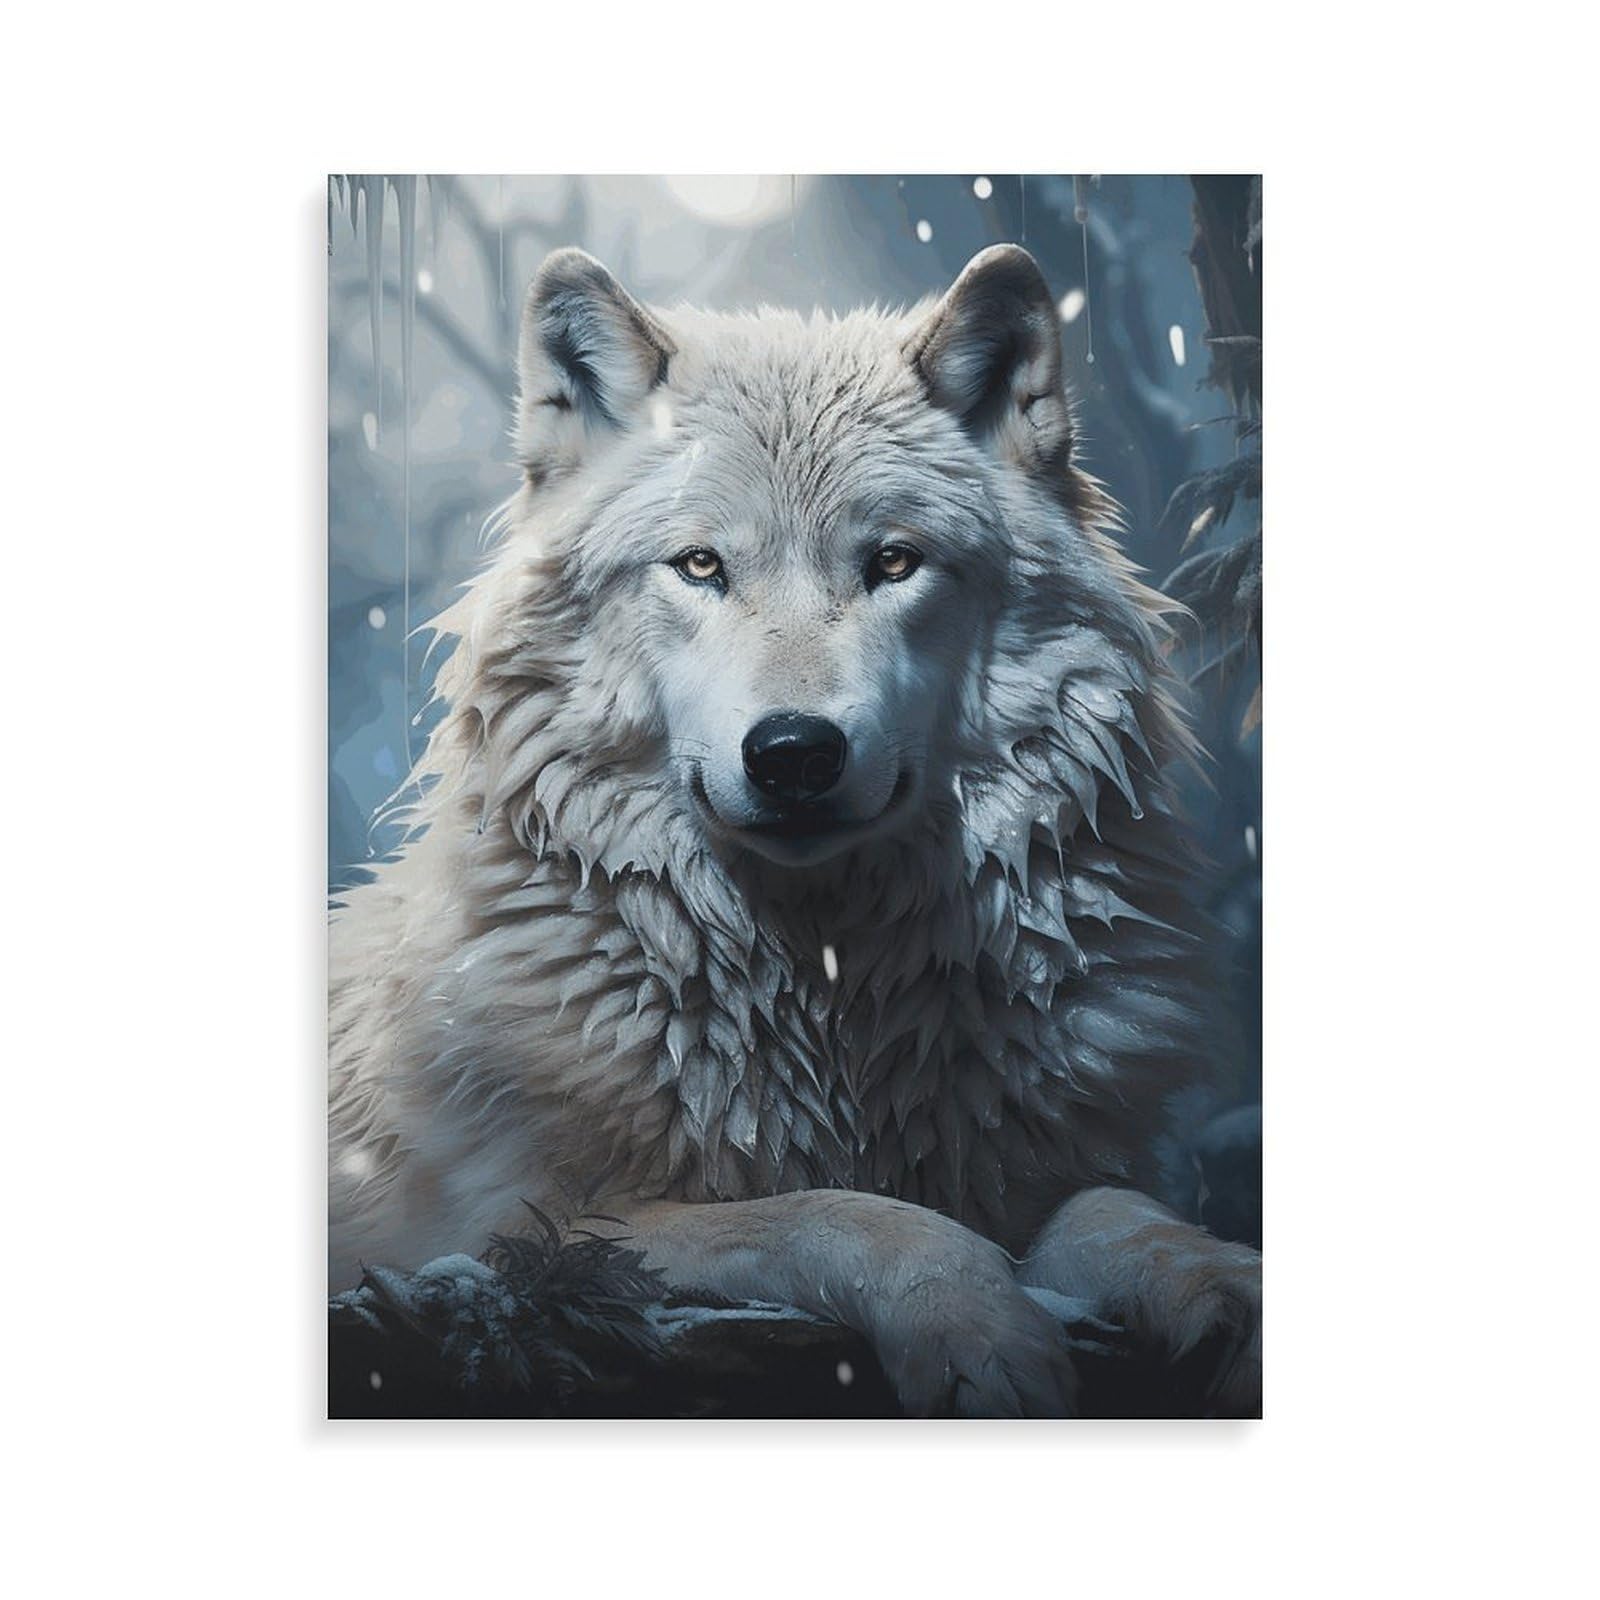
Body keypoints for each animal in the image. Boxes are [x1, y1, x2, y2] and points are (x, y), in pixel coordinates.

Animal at [329, 242, 1261, 1417]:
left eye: (894, 563)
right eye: (699, 566)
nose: (793, 754)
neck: (823, 987)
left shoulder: (1040, 1177)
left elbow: (1117, 1214)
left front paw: (1221, 1285)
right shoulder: (524, 1230)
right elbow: (849, 1216)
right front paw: (982, 1340)